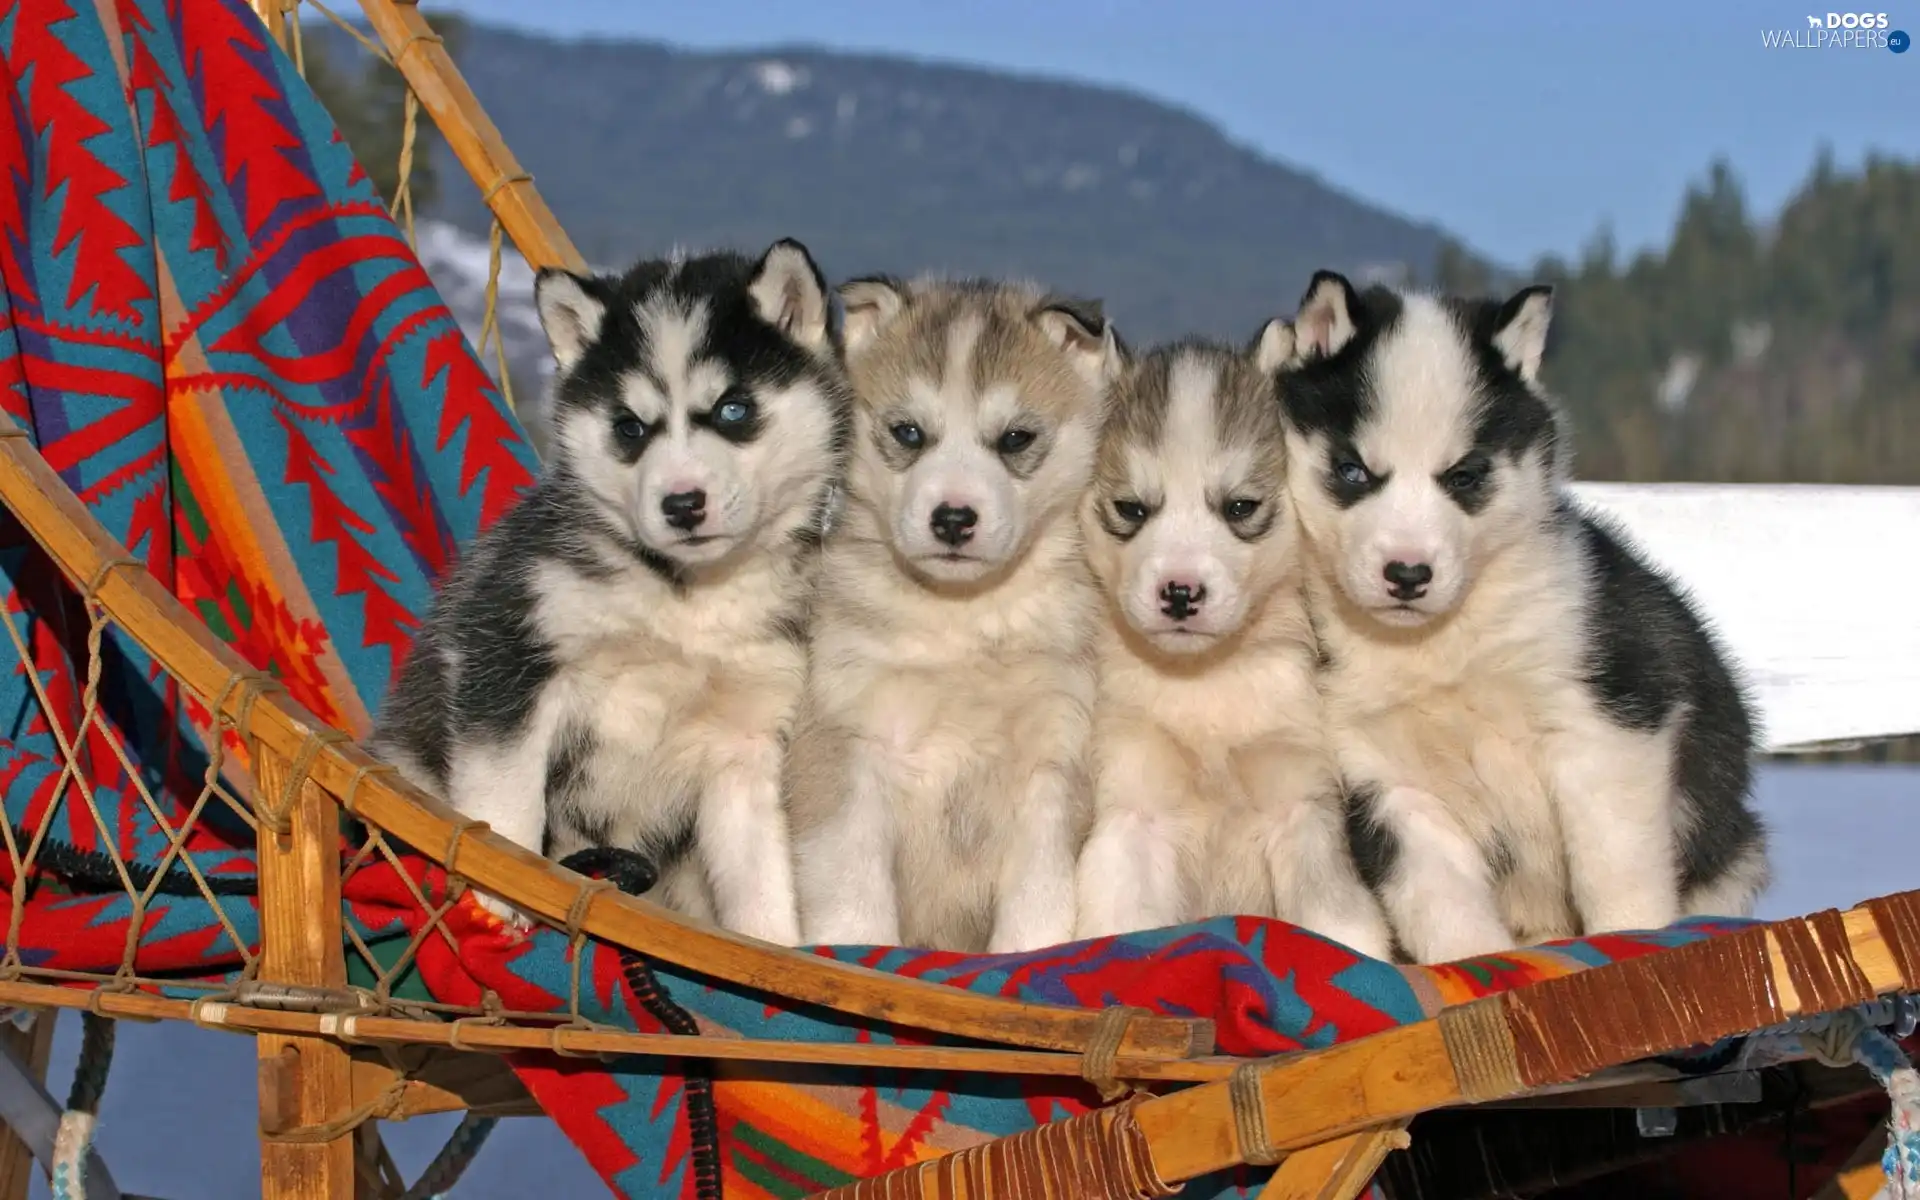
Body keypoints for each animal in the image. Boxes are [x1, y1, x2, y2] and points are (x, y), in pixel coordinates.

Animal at [370, 239, 852, 940]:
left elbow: (760, 878)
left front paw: (771, 949)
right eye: (628, 426)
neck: (686, 602)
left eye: (733, 409)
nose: (681, 504)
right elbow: (506, 800)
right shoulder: (511, 653)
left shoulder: (746, 738)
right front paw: (499, 894)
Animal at [787, 276, 1121, 948]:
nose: (953, 518)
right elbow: (854, 899)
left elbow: (1038, 906)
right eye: (909, 433)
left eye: (1015, 438)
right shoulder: (845, 750)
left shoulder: (1054, 761)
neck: (961, 622)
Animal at [1075, 334, 1390, 956]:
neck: (1207, 685)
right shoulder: (1133, 810)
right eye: (1131, 509)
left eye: (1240, 507)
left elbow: (1335, 925)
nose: (1180, 593)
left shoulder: (1303, 804)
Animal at [1274, 270, 1766, 963]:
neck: (1444, 648)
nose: (1408, 574)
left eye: (1465, 476)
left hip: (1734, 851)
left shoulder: (1608, 727)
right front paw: (1469, 966)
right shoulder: (1388, 782)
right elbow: (1442, 907)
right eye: (1352, 470)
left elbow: (1616, 869)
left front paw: (1630, 940)